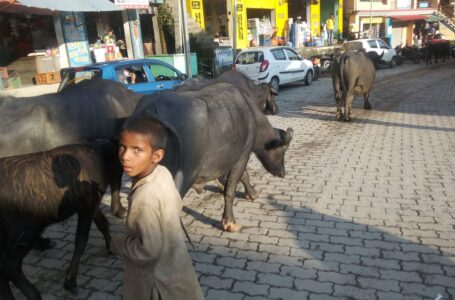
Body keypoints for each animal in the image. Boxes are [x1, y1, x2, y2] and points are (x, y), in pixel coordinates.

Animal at [0, 142, 117, 298]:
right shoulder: (88, 203)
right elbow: (81, 239)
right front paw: (70, 282)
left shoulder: (91, 203)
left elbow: (103, 223)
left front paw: (111, 247)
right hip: (24, 231)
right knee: (9, 266)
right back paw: (34, 294)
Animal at [134, 81, 294, 231]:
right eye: (284, 149)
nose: (283, 173)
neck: (250, 116)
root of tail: (151, 110)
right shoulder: (242, 156)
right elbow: (232, 187)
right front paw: (230, 222)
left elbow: (241, 177)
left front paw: (251, 193)